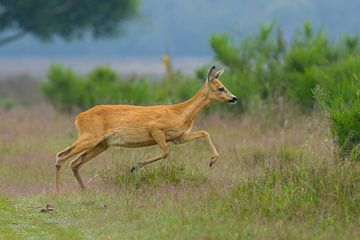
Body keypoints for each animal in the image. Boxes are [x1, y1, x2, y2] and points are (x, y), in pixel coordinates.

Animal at [54, 65, 236, 193]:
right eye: (221, 87)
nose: (234, 98)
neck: (180, 112)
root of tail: (78, 117)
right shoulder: (156, 129)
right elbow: (166, 152)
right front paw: (134, 166)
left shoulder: (179, 137)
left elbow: (204, 132)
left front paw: (212, 161)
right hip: (89, 138)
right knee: (61, 156)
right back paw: (58, 192)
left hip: (101, 144)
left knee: (74, 162)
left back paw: (84, 189)